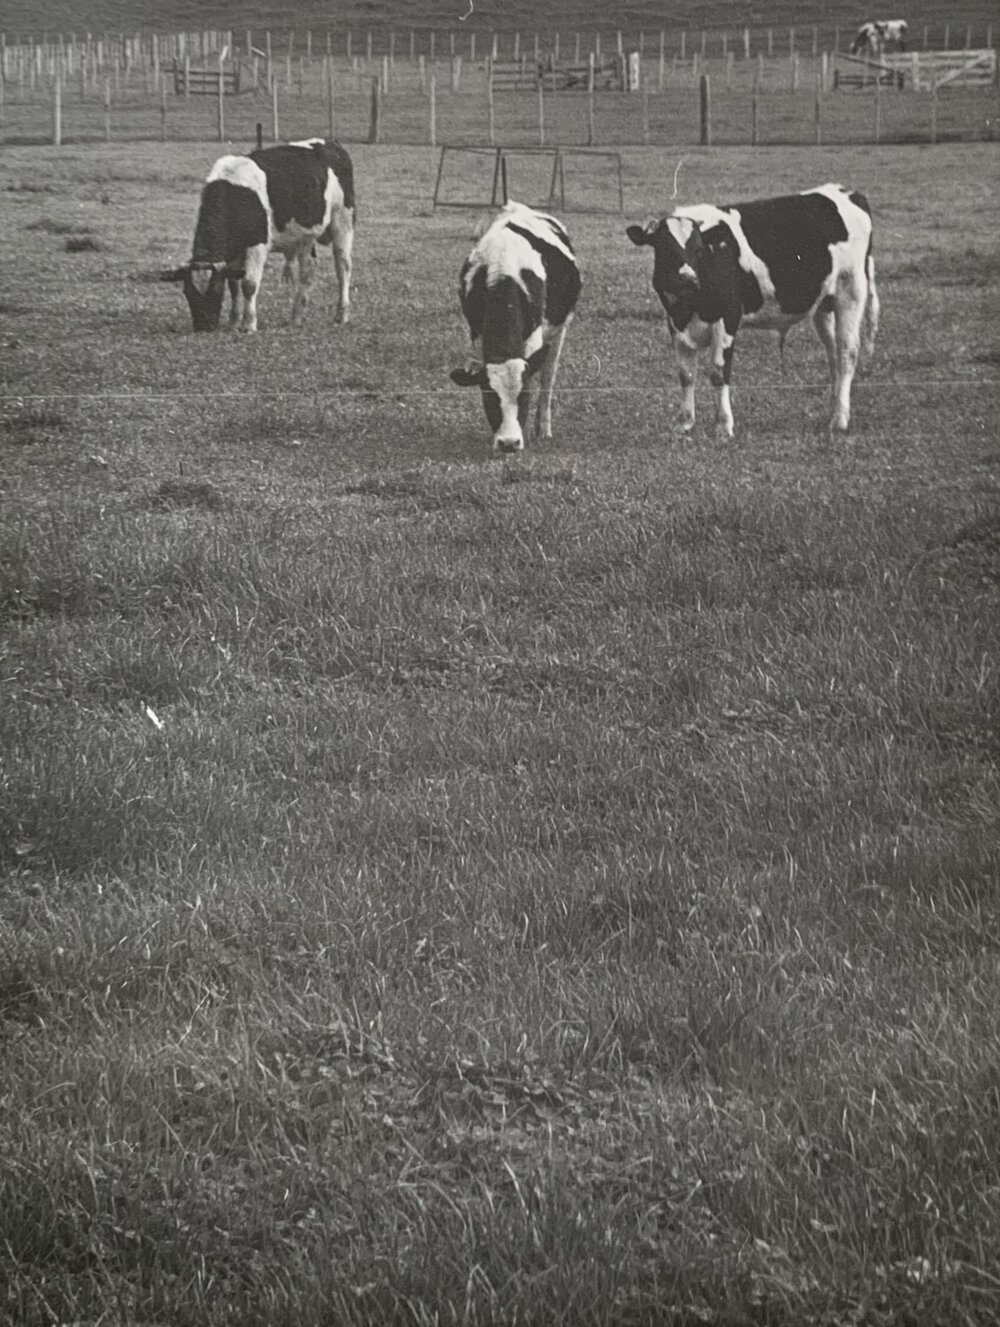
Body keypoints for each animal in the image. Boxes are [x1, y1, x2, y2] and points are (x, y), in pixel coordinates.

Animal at [158, 139, 355, 332]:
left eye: (215, 289)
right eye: (187, 292)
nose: (204, 327)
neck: (234, 194)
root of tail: (332, 145)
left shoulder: (257, 245)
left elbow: (249, 285)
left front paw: (249, 324)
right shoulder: (232, 253)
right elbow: (234, 285)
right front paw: (233, 322)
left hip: (343, 220)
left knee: (343, 266)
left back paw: (342, 315)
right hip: (305, 237)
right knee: (307, 272)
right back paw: (296, 318)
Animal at [449, 200, 582, 453]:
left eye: (524, 397)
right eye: (489, 397)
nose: (509, 443)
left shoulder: (535, 338)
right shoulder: (478, 334)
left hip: (560, 330)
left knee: (548, 378)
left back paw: (544, 429)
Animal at [625, 183, 879, 437]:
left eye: (698, 250)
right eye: (666, 250)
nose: (688, 279)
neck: (689, 307)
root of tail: (846, 191)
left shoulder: (727, 316)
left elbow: (719, 372)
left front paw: (724, 426)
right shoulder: (675, 322)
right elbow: (686, 375)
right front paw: (685, 423)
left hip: (851, 289)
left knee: (847, 351)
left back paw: (840, 419)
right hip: (824, 303)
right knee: (833, 354)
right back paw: (833, 410)